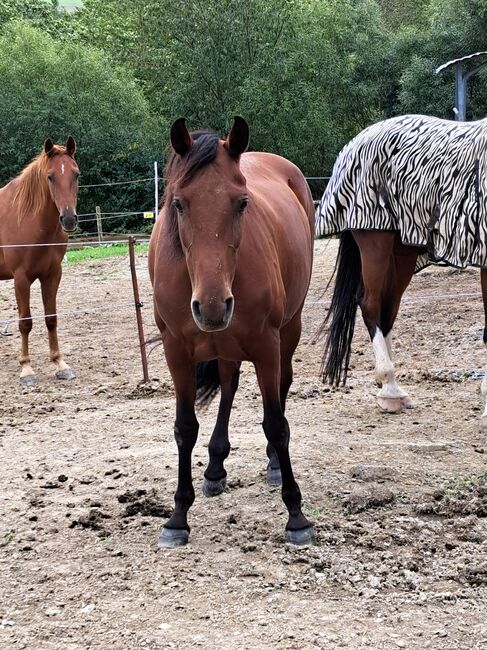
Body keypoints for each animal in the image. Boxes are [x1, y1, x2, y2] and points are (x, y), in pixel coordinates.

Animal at [0, 135, 79, 382]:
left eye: (76, 174)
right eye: (50, 176)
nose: (69, 219)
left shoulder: (52, 274)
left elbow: (51, 318)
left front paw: (60, 364)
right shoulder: (21, 278)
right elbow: (25, 322)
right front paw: (26, 368)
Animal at [149, 117, 316, 548]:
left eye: (242, 202)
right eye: (178, 203)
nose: (212, 305)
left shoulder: (266, 344)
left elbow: (276, 423)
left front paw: (296, 516)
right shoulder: (176, 350)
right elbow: (184, 428)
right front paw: (178, 516)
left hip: (287, 329)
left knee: (281, 387)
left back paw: (273, 466)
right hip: (222, 343)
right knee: (228, 386)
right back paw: (215, 468)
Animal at [318, 114, 487, 428]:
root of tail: (354, 143)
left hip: (403, 254)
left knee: (387, 310)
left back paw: (393, 390)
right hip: (376, 241)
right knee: (370, 304)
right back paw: (390, 389)